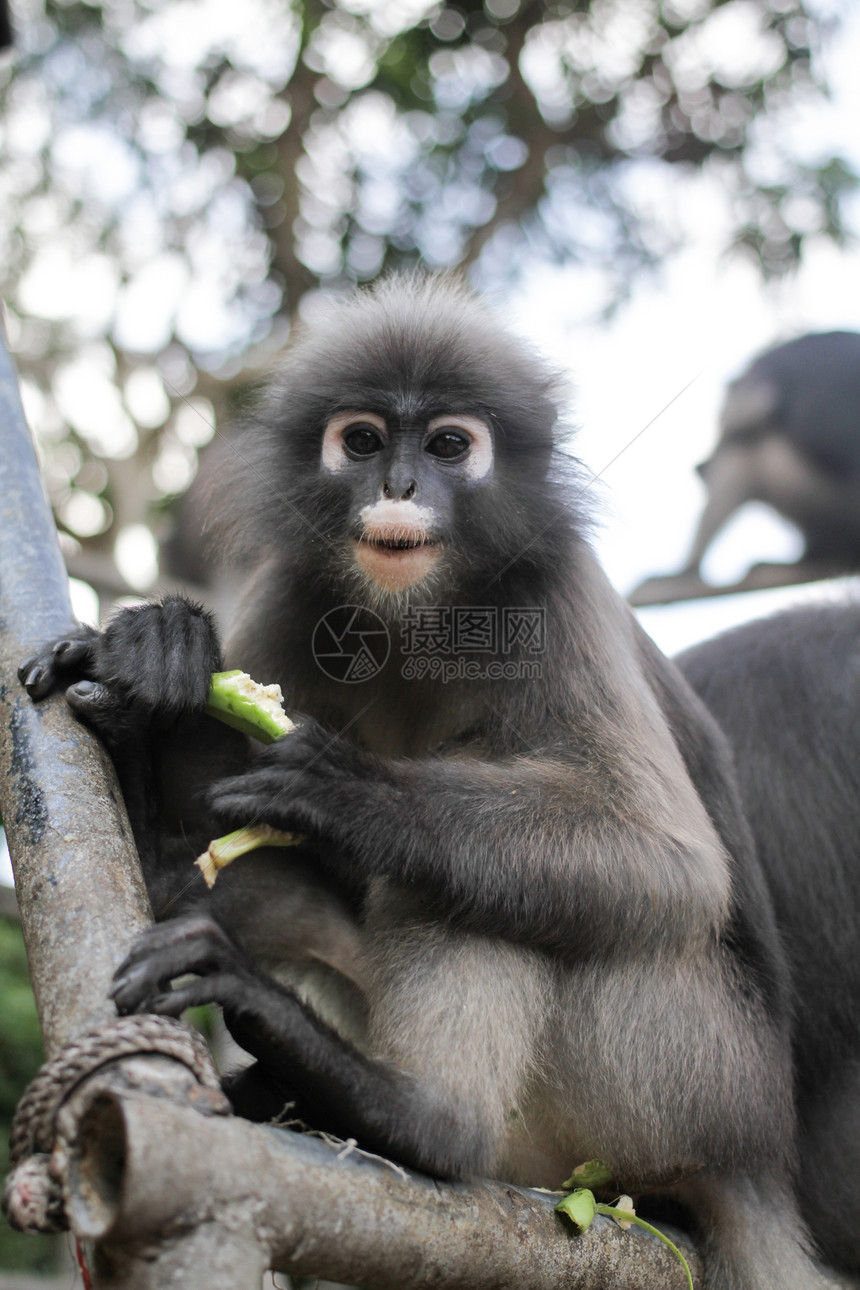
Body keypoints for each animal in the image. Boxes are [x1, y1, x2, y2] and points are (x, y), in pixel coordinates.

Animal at [18, 277, 856, 1284]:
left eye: (450, 446)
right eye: (363, 441)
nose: (400, 487)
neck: (417, 610)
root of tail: (758, 1162)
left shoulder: (557, 594)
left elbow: (672, 866)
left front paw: (348, 793)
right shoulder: (296, 588)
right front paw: (159, 660)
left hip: (681, 1075)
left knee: (479, 889)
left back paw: (418, 1117)